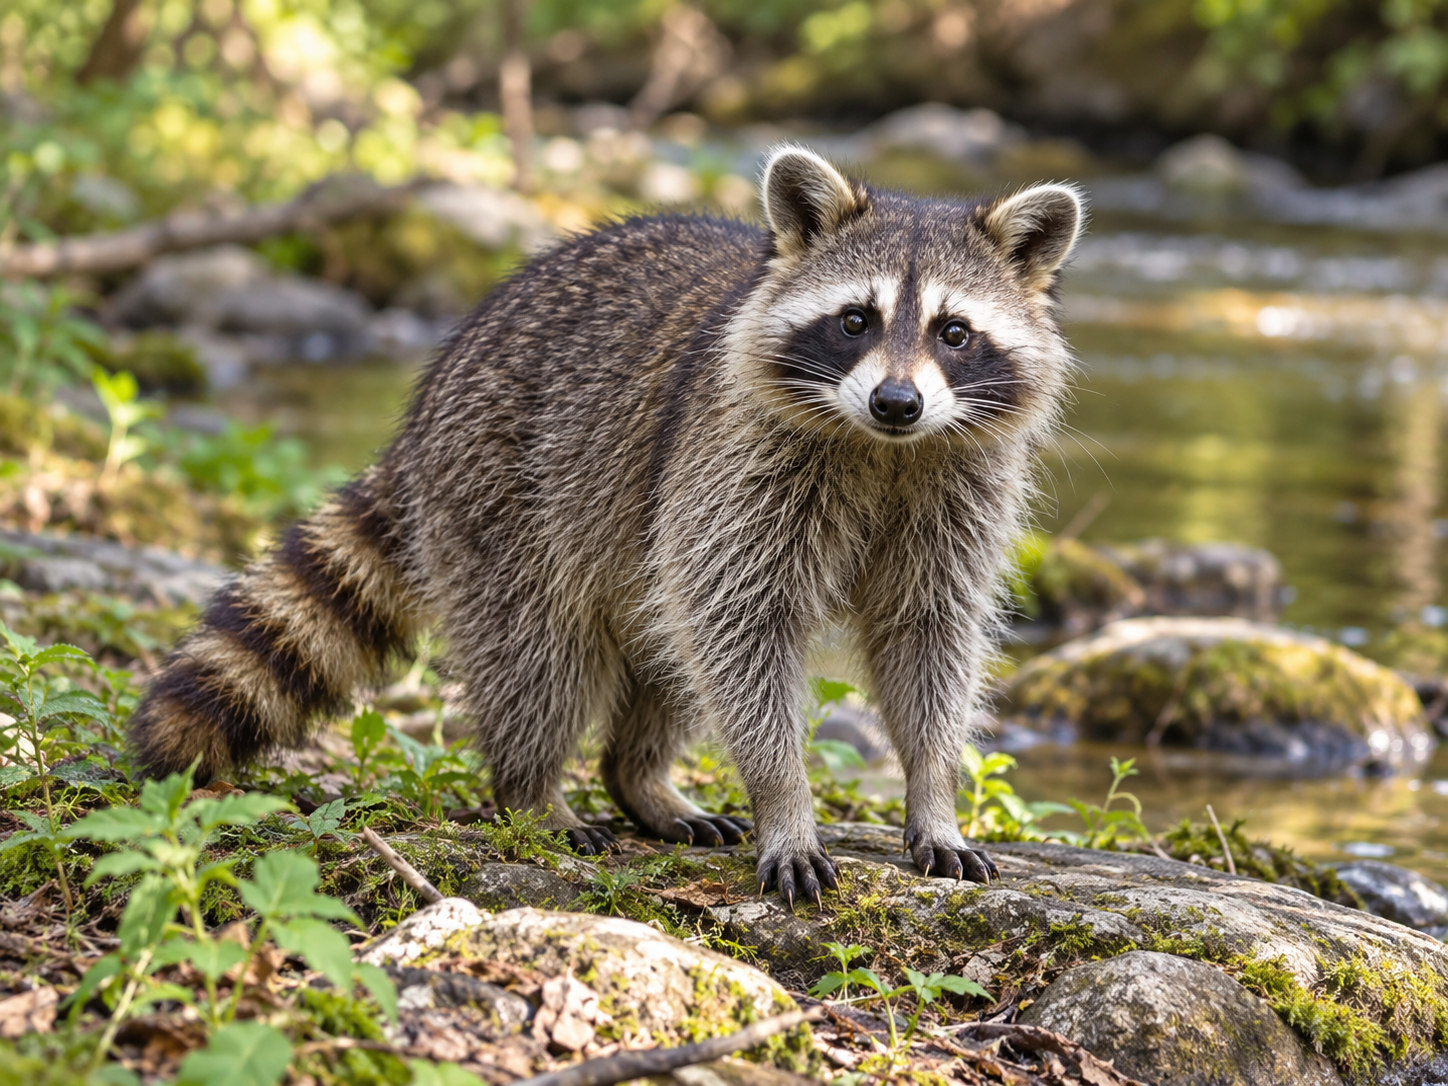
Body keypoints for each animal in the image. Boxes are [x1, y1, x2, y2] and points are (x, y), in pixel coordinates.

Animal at [129, 146, 1084, 905]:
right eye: (856, 321)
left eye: (954, 332)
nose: (896, 401)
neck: (882, 451)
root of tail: (426, 404)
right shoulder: (733, 461)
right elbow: (743, 631)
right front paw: (786, 801)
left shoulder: (956, 489)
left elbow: (928, 636)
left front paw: (933, 793)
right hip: (503, 493)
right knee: (539, 653)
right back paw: (533, 789)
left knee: (666, 655)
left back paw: (639, 776)